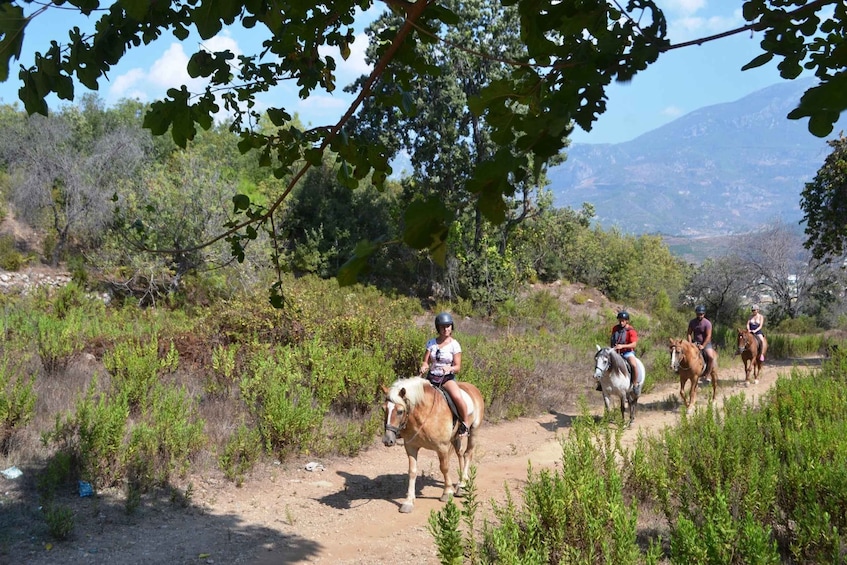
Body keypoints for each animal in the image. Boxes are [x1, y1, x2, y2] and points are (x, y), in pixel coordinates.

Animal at [382, 376, 484, 512]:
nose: (387, 440)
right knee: (460, 454)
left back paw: (462, 484)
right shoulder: (411, 447)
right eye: (383, 409)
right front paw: (409, 501)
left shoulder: (442, 447)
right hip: (455, 437)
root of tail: (473, 388)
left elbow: (444, 468)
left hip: (473, 431)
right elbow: (412, 471)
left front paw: (447, 492)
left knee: (467, 454)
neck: (424, 414)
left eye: (400, 411)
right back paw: (461, 483)